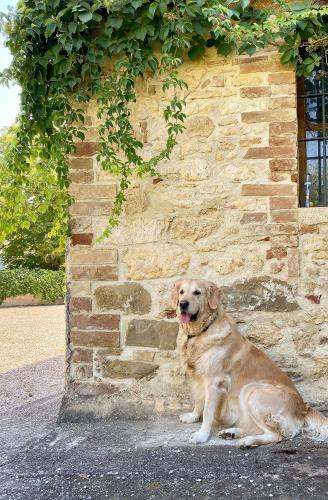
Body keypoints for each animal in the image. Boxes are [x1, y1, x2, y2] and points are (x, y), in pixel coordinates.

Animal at [172, 280, 328, 448]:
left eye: (197, 292)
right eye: (182, 292)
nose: (183, 304)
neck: (201, 332)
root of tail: (304, 408)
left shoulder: (214, 380)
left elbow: (207, 411)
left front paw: (201, 435)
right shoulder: (199, 377)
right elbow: (199, 400)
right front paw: (192, 416)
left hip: (251, 390)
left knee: (276, 435)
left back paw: (248, 441)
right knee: (254, 428)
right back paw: (232, 433)